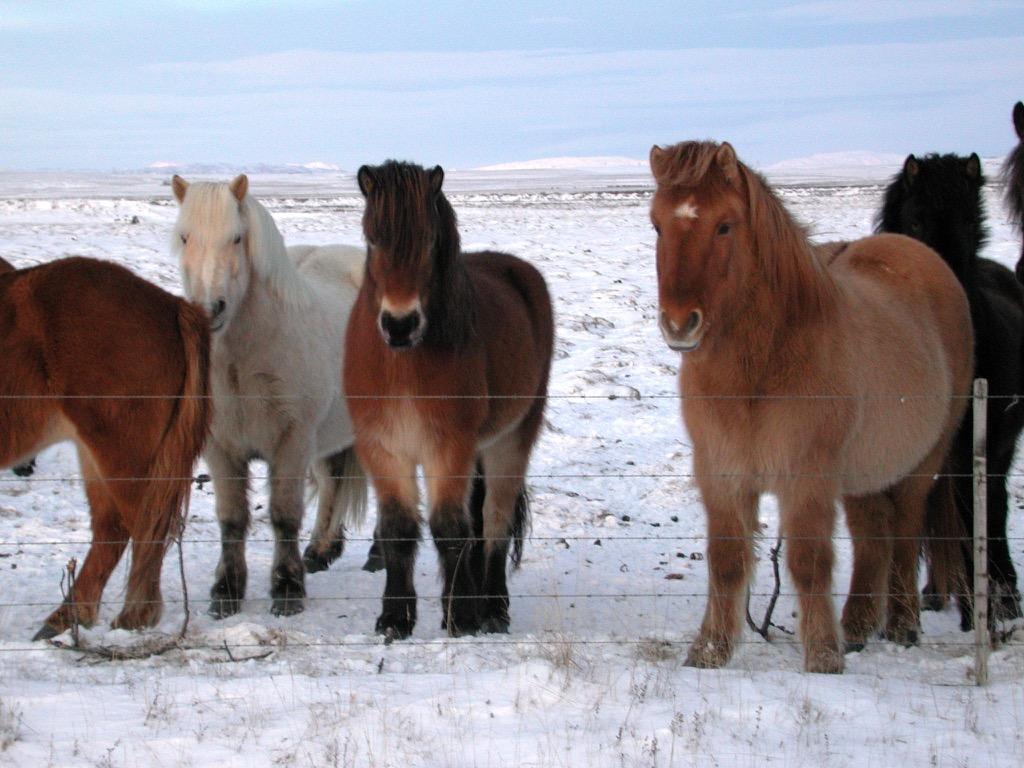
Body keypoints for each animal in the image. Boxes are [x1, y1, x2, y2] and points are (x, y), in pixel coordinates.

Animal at [0, 255, 210, 640]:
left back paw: (134, 616)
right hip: (94, 452)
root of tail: (174, 305)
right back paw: (68, 617)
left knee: (142, 528)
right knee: (111, 531)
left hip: (119, 453)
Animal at [171, 174, 367, 618]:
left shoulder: (291, 443)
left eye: (236, 238)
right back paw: (321, 551)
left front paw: (287, 588)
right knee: (331, 482)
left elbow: (283, 515)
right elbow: (231, 518)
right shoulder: (221, 448)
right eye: (185, 237)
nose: (209, 309)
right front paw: (226, 591)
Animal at [345, 161, 553, 639]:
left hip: (511, 439)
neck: (402, 368)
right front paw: (395, 618)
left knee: (494, 522)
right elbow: (399, 528)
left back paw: (492, 609)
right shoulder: (382, 449)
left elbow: (449, 528)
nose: (399, 324)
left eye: (428, 241)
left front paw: (459, 616)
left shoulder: (448, 447)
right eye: (372, 238)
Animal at [649, 140, 973, 673]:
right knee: (872, 539)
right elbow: (726, 560)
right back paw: (858, 627)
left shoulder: (806, 477)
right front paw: (710, 651)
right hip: (864, 473)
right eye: (657, 224)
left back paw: (902, 625)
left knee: (904, 536)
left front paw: (822, 657)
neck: (759, 369)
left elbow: (809, 561)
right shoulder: (721, 474)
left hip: (920, 465)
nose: (679, 324)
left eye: (724, 226)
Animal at [878, 152, 1024, 626]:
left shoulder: (977, 452)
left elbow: (977, 518)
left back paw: (996, 596)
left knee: (990, 508)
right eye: (915, 221)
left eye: (970, 221)